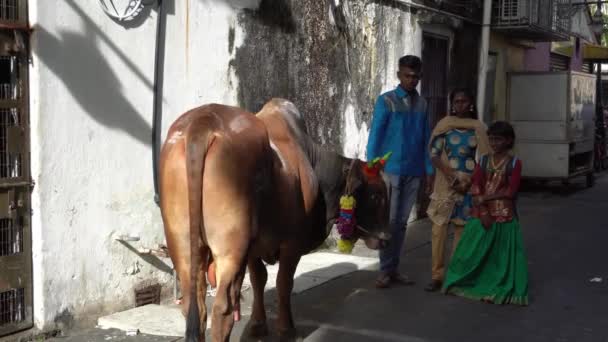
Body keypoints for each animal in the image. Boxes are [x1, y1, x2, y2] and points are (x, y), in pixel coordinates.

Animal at [159, 97, 392, 340]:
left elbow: (259, 279)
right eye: (376, 194)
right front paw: (286, 328)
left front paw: (257, 324)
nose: (386, 238)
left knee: (195, 304)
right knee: (223, 308)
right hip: (231, 247)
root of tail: (203, 121)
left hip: (183, 244)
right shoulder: (292, 243)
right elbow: (283, 283)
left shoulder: (253, 249)